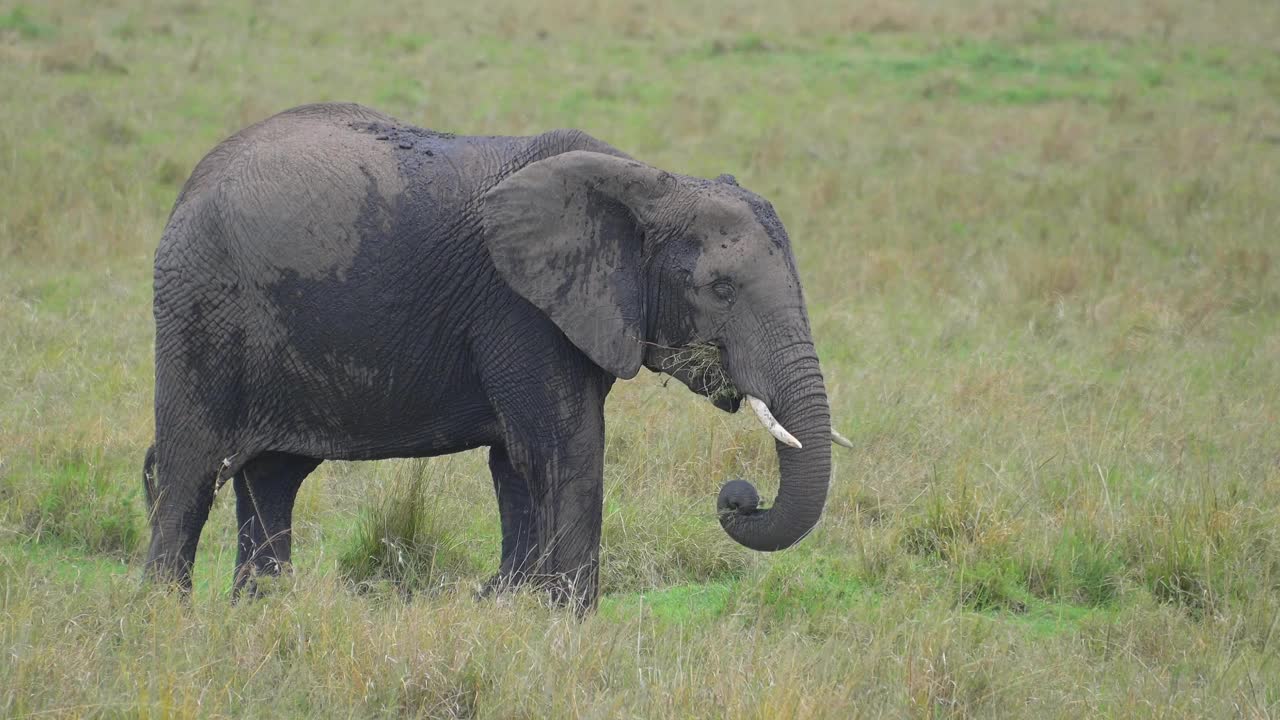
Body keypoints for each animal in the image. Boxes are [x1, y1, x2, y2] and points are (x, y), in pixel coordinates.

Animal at [142, 101, 839, 604]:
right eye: (721, 289)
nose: (738, 497)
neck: (648, 184)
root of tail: (191, 184)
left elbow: (517, 463)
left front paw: (504, 604)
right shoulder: (517, 305)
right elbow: (564, 448)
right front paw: (563, 624)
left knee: (273, 478)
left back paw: (262, 613)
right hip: (201, 306)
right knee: (188, 473)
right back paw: (167, 617)